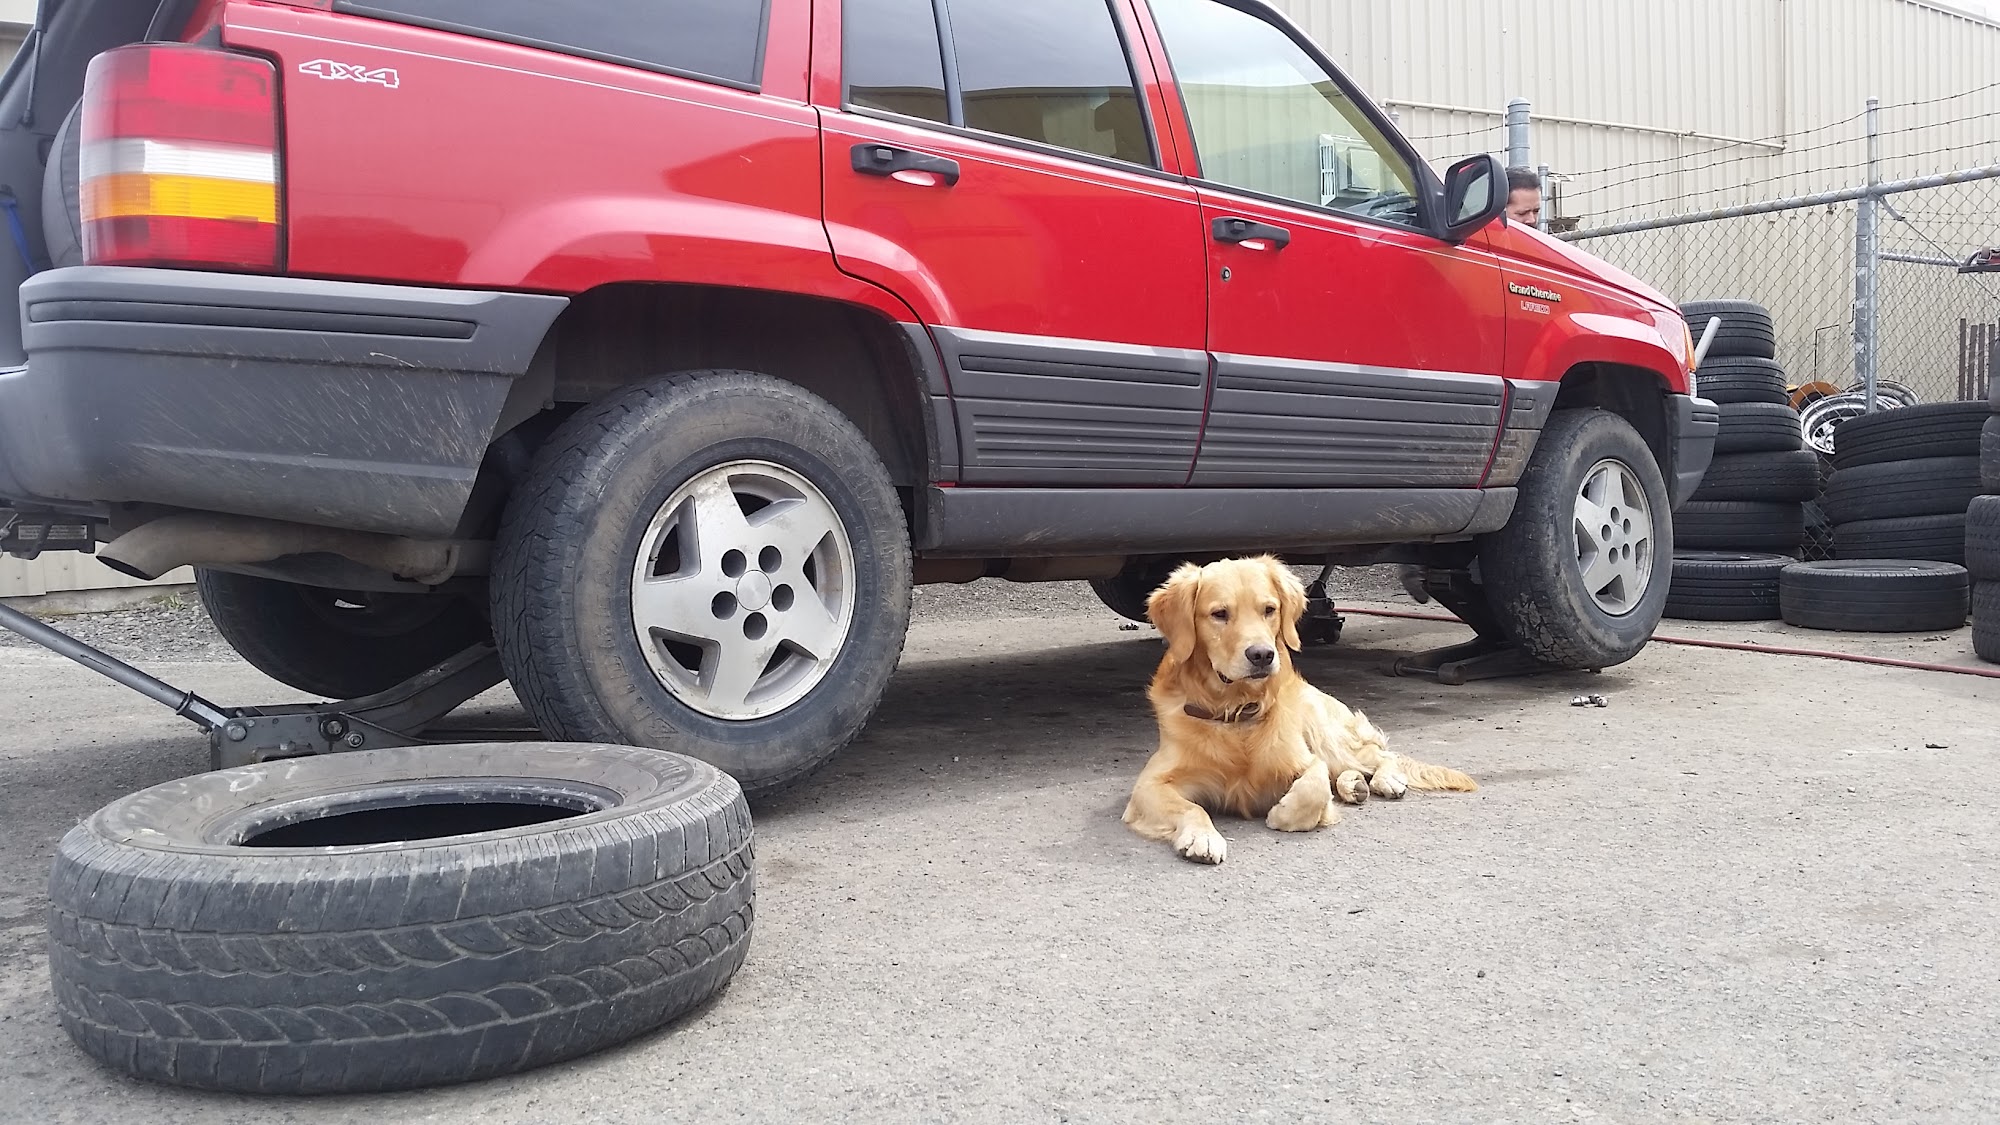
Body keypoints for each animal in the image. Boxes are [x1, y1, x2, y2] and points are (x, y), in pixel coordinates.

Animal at [1122, 556, 1478, 864]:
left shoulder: (1304, 759)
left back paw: (1384, 780)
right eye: (1219, 614)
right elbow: (1192, 808)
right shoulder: (1150, 784)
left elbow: (1313, 786)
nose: (1262, 655)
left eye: (1269, 610)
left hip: (1326, 735)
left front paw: (1283, 813)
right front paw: (1203, 837)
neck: (1236, 711)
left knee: (1378, 755)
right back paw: (1354, 786)